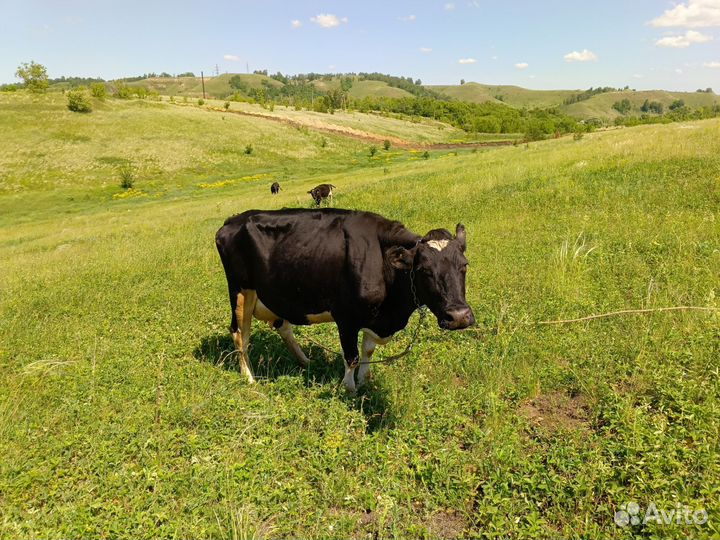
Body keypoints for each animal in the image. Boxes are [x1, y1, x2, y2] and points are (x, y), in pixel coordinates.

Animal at [215, 208, 474, 392]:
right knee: (239, 334)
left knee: (283, 327)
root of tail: (232, 220)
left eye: (464, 265)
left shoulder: (375, 318)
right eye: (424, 271)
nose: (459, 316)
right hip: (241, 292)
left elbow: (368, 351)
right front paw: (349, 388)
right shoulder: (346, 318)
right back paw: (249, 378)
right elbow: (352, 357)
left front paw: (365, 380)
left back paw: (306, 361)